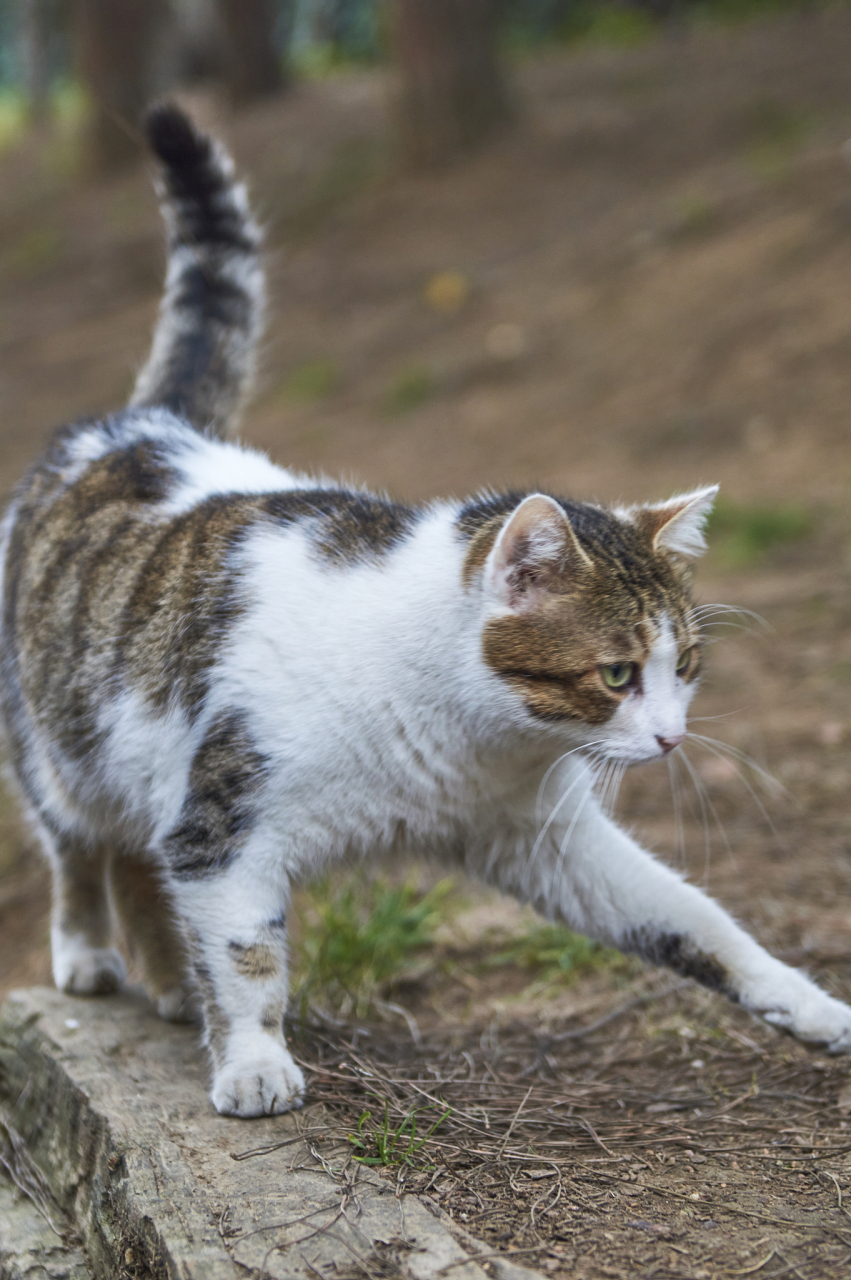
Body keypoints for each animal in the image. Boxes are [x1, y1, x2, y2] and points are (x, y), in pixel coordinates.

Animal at [3, 104, 844, 1116]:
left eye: (682, 668)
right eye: (614, 674)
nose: (673, 739)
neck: (459, 737)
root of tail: (142, 424)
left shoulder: (541, 838)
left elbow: (690, 916)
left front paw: (806, 1004)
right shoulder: (222, 824)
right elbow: (246, 954)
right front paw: (253, 1063)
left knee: (134, 854)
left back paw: (167, 981)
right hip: (58, 748)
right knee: (81, 848)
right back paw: (89, 954)